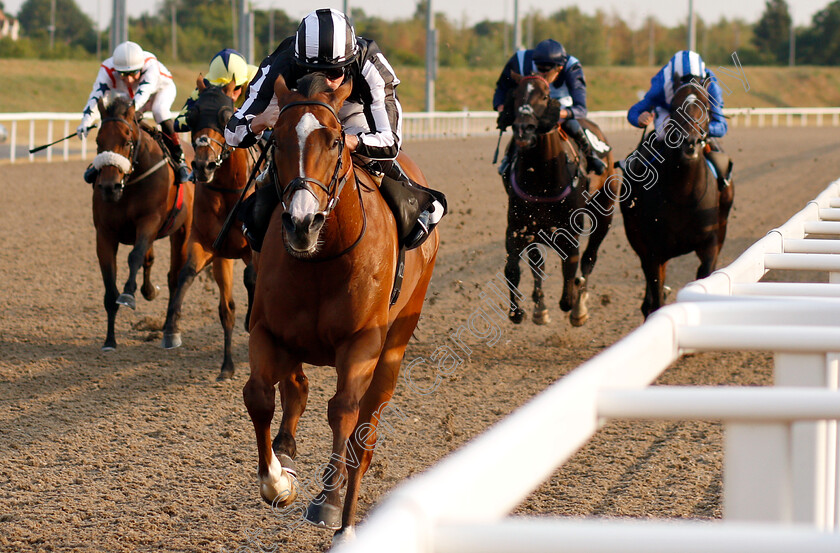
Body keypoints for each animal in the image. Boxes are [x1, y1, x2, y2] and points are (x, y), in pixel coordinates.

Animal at [90, 90, 195, 350]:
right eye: (98, 142)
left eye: (127, 141)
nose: (109, 187)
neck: (129, 184)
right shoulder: (104, 234)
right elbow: (110, 287)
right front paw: (110, 340)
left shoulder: (149, 220)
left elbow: (135, 256)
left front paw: (128, 294)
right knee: (150, 260)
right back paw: (149, 291)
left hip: (183, 230)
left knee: (173, 277)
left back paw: (169, 329)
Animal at [162, 78, 258, 380]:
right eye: (192, 116)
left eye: (226, 117)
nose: (203, 165)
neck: (229, 193)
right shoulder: (209, 247)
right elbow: (187, 274)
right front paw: (171, 329)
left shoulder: (254, 248)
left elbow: (252, 277)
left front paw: (251, 320)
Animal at [241, 73, 440, 540]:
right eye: (276, 140)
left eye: (334, 141)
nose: (301, 222)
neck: (324, 257)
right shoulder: (267, 330)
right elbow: (259, 395)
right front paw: (277, 481)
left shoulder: (361, 342)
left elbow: (344, 412)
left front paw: (329, 504)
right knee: (295, 388)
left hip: (396, 342)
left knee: (363, 438)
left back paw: (347, 521)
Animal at [502, 71, 620, 326]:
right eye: (515, 95)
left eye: (545, 96)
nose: (524, 129)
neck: (541, 179)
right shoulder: (518, 227)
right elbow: (513, 268)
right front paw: (518, 311)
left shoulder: (569, 230)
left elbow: (570, 268)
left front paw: (572, 301)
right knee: (537, 261)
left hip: (605, 211)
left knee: (589, 258)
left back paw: (579, 307)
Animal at [624, 79, 736, 316]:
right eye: (675, 106)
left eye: (706, 106)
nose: (690, 142)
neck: (683, 195)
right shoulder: (653, 251)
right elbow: (656, 301)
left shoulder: (710, 245)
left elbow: (704, 272)